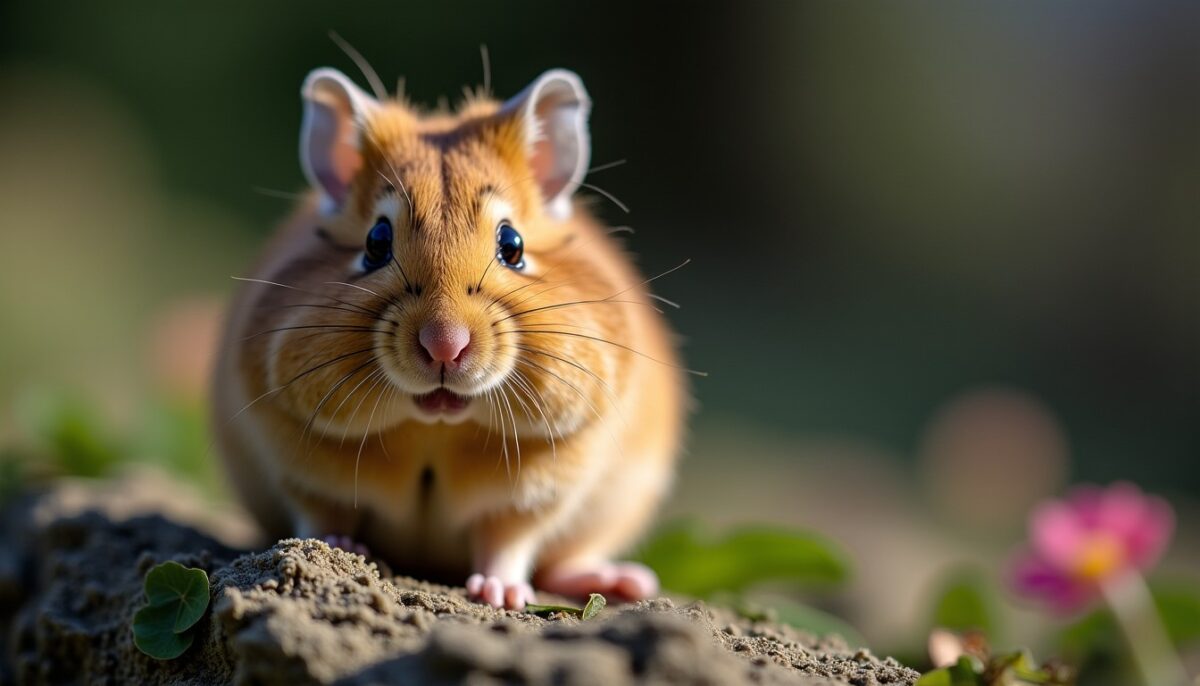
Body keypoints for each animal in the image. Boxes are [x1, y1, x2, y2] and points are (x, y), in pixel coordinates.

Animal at [211, 66, 687, 610]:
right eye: (376, 242)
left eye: (512, 245)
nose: (445, 345)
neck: (434, 428)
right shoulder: (300, 469)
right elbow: (321, 515)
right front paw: (338, 550)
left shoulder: (538, 488)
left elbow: (506, 542)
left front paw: (500, 596)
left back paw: (624, 581)